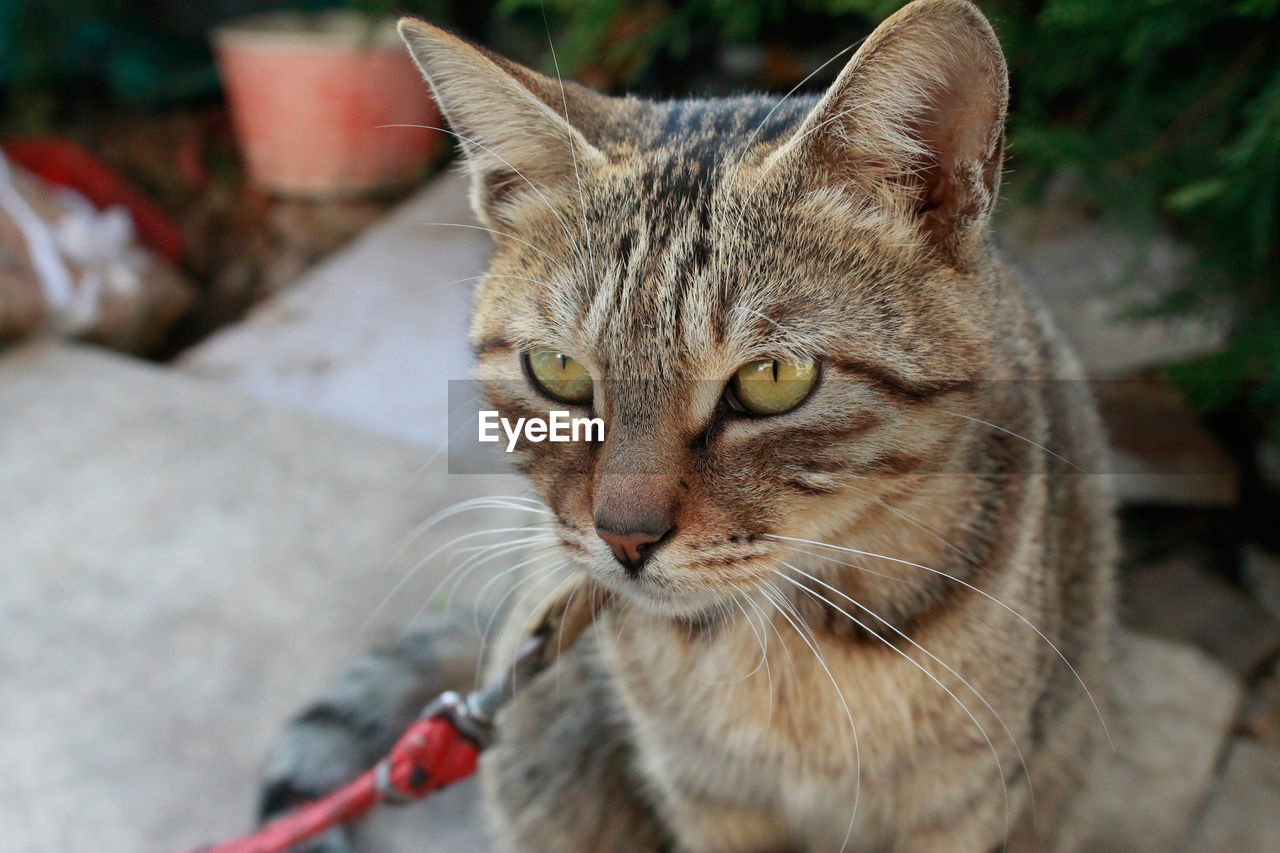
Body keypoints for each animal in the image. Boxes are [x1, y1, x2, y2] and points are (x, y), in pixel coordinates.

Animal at [262, 3, 1121, 845]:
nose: (624, 538)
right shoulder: (702, 797)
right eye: (559, 371)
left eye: (772, 379)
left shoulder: (963, 809)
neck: (790, 648)